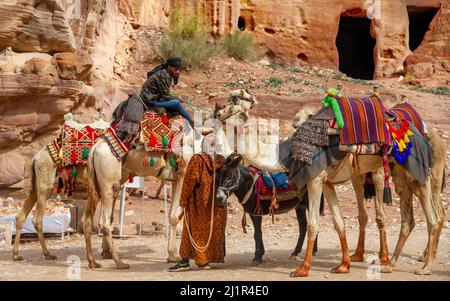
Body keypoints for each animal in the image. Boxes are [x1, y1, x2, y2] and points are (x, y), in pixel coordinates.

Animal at [13, 113, 109, 258]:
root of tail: (35, 158)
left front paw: (106, 252)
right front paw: (106, 252)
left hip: (36, 183)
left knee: (21, 216)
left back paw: (16, 255)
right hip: (46, 181)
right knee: (37, 219)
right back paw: (47, 254)